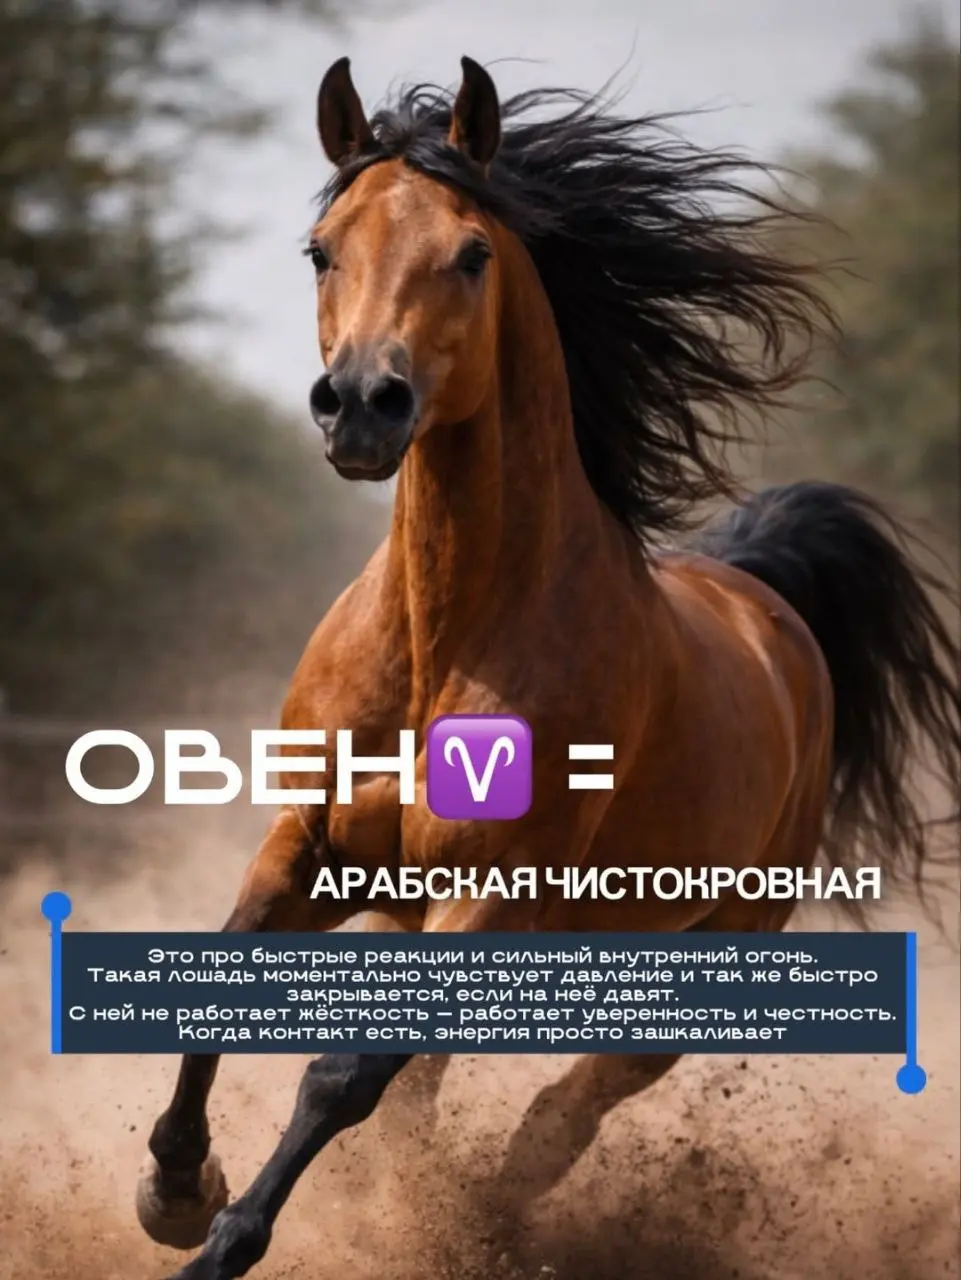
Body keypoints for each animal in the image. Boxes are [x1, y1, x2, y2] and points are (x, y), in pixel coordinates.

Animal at [136, 57, 959, 1279]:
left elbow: (339, 1079)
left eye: (472, 253)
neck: (445, 643)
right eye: (321, 249)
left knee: (559, 1114)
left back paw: (496, 1218)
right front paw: (175, 1191)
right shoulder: (315, 848)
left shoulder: (493, 893)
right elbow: (228, 985)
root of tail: (767, 604)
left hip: (699, 953)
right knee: (440, 1097)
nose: (361, 405)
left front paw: (218, 1243)